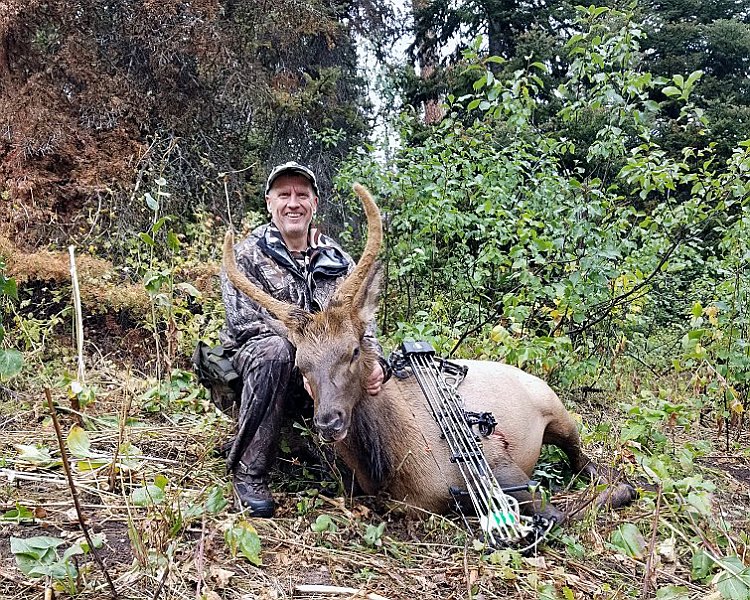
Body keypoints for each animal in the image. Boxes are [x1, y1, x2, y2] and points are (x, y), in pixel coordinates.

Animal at [222, 184, 636, 524]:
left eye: (353, 350)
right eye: (301, 363)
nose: (328, 421)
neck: (392, 464)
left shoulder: (496, 457)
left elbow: (562, 512)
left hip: (560, 413)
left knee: (586, 462)